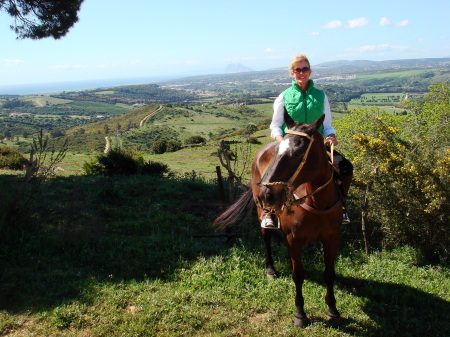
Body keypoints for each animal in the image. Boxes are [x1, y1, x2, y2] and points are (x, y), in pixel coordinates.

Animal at [216, 112, 342, 326]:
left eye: (298, 154)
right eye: (278, 153)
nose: (268, 194)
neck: (317, 203)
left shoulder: (331, 239)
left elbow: (329, 273)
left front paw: (332, 309)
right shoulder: (294, 240)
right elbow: (297, 275)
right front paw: (300, 314)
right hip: (262, 213)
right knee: (266, 237)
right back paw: (271, 269)